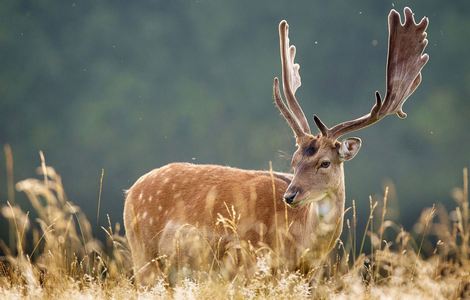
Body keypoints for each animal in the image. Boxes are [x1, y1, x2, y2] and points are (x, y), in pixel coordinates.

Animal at [124, 7, 430, 284]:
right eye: (294, 161)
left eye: (325, 162)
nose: (290, 195)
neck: (299, 244)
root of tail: (131, 192)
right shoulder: (248, 263)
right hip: (144, 256)